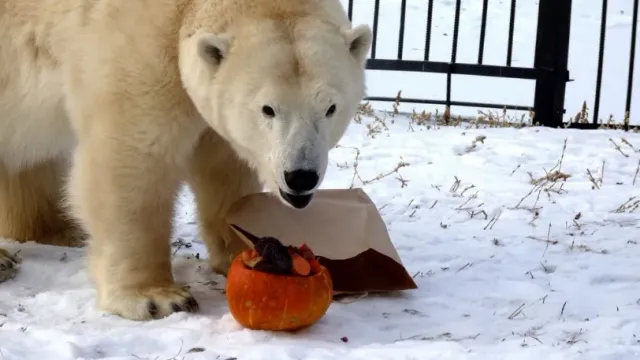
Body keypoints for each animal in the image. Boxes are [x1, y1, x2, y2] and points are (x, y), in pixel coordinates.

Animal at [0, 0, 372, 320]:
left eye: (330, 108)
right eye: (268, 108)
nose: (300, 177)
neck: (185, 7)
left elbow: (223, 167)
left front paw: (240, 250)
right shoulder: (136, 49)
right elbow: (133, 159)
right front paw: (156, 297)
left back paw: (56, 229)